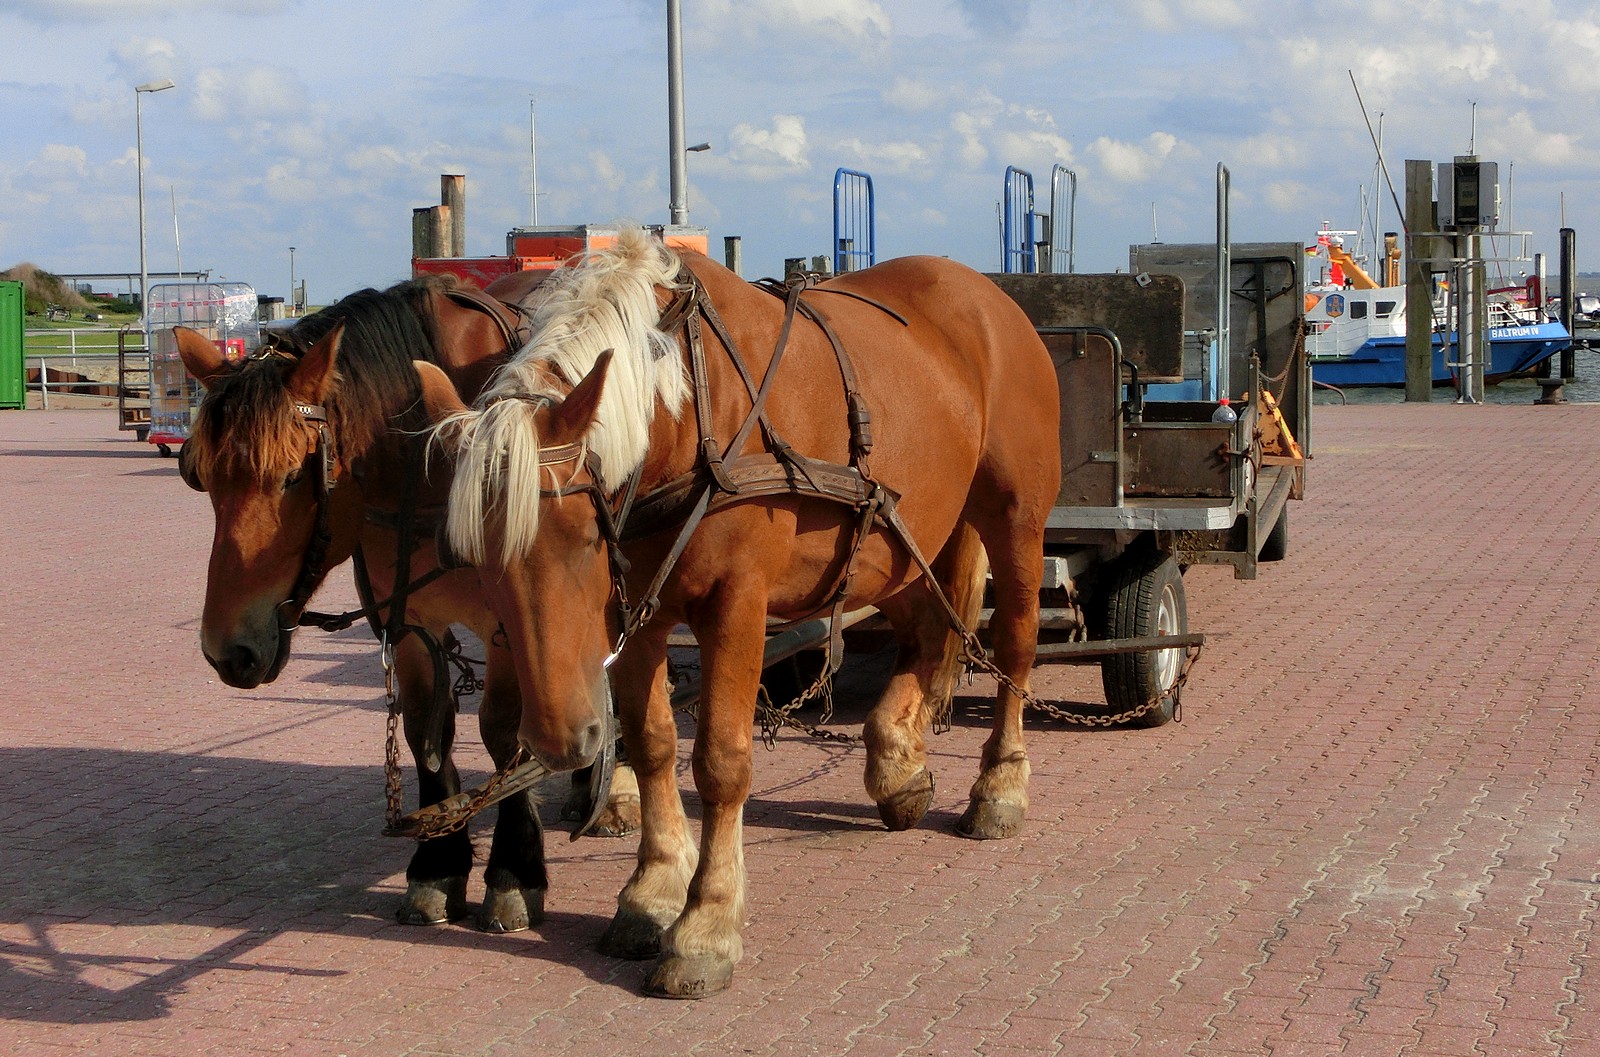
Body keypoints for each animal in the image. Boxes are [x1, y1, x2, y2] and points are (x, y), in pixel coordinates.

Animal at [416, 227, 1062, 991]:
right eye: (477, 559)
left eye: (582, 537)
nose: (556, 742)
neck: (688, 407)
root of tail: (983, 293)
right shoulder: (637, 613)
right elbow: (654, 744)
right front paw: (652, 889)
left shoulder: (737, 603)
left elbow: (721, 761)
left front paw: (707, 921)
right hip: (901, 539)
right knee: (928, 634)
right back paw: (897, 762)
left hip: (1013, 515)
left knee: (1015, 640)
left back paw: (1000, 785)